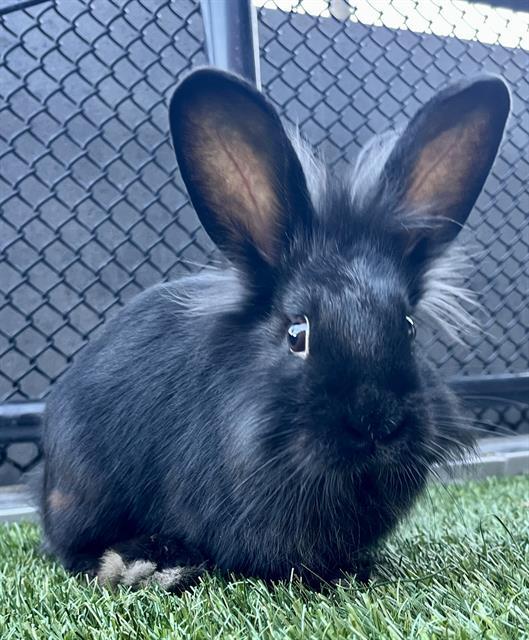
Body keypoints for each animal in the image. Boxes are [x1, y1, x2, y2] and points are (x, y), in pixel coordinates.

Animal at [40, 68, 510, 592]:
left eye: (407, 326)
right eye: (297, 335)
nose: (377, 422)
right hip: (84, 491)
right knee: (71, 548)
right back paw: (145, 562)